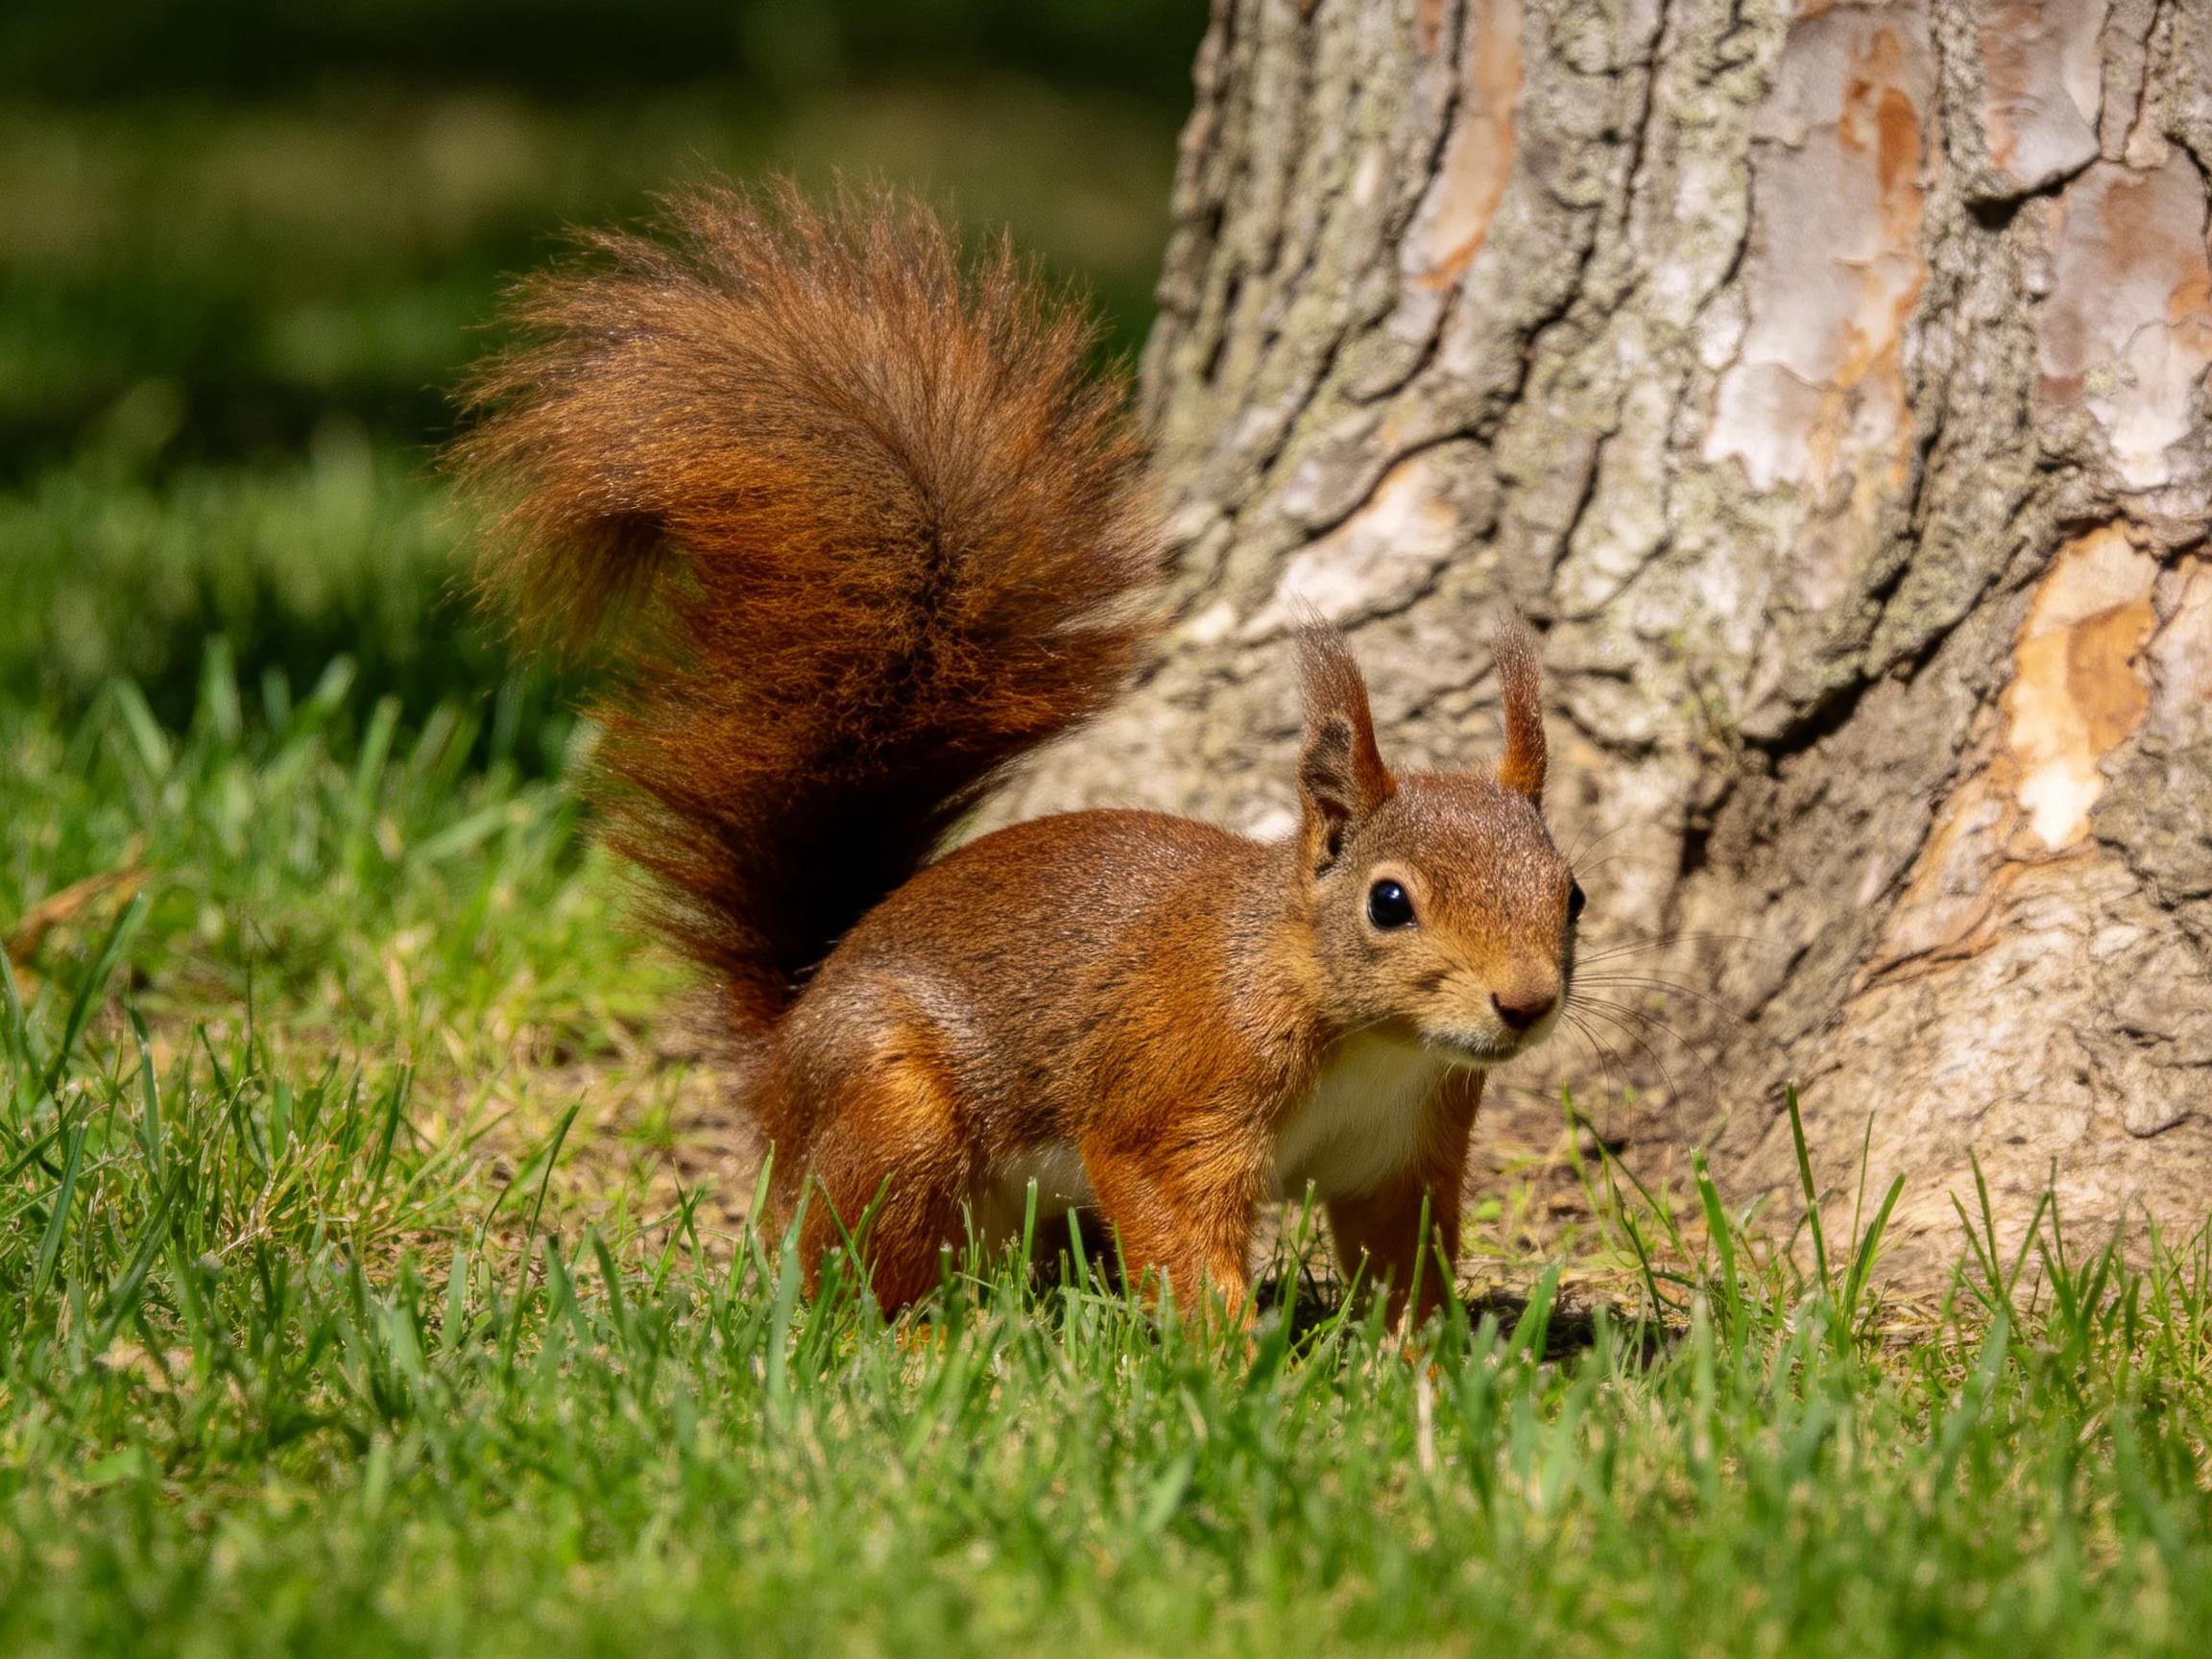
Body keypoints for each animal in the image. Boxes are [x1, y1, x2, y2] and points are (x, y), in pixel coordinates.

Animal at [456, 180, 1581, 1320]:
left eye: (1571, 894)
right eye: (1388, 902)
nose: (1526, 1004)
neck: (1363, 1029)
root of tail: (784, 1054)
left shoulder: (1406, 1151)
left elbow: (1405, 1266)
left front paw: (1427, 1353)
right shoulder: (1173, 1099)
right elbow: (1173, 1222)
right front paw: (1233, 1352)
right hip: (894, 1109)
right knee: (841, 1277)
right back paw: (916, 1335)